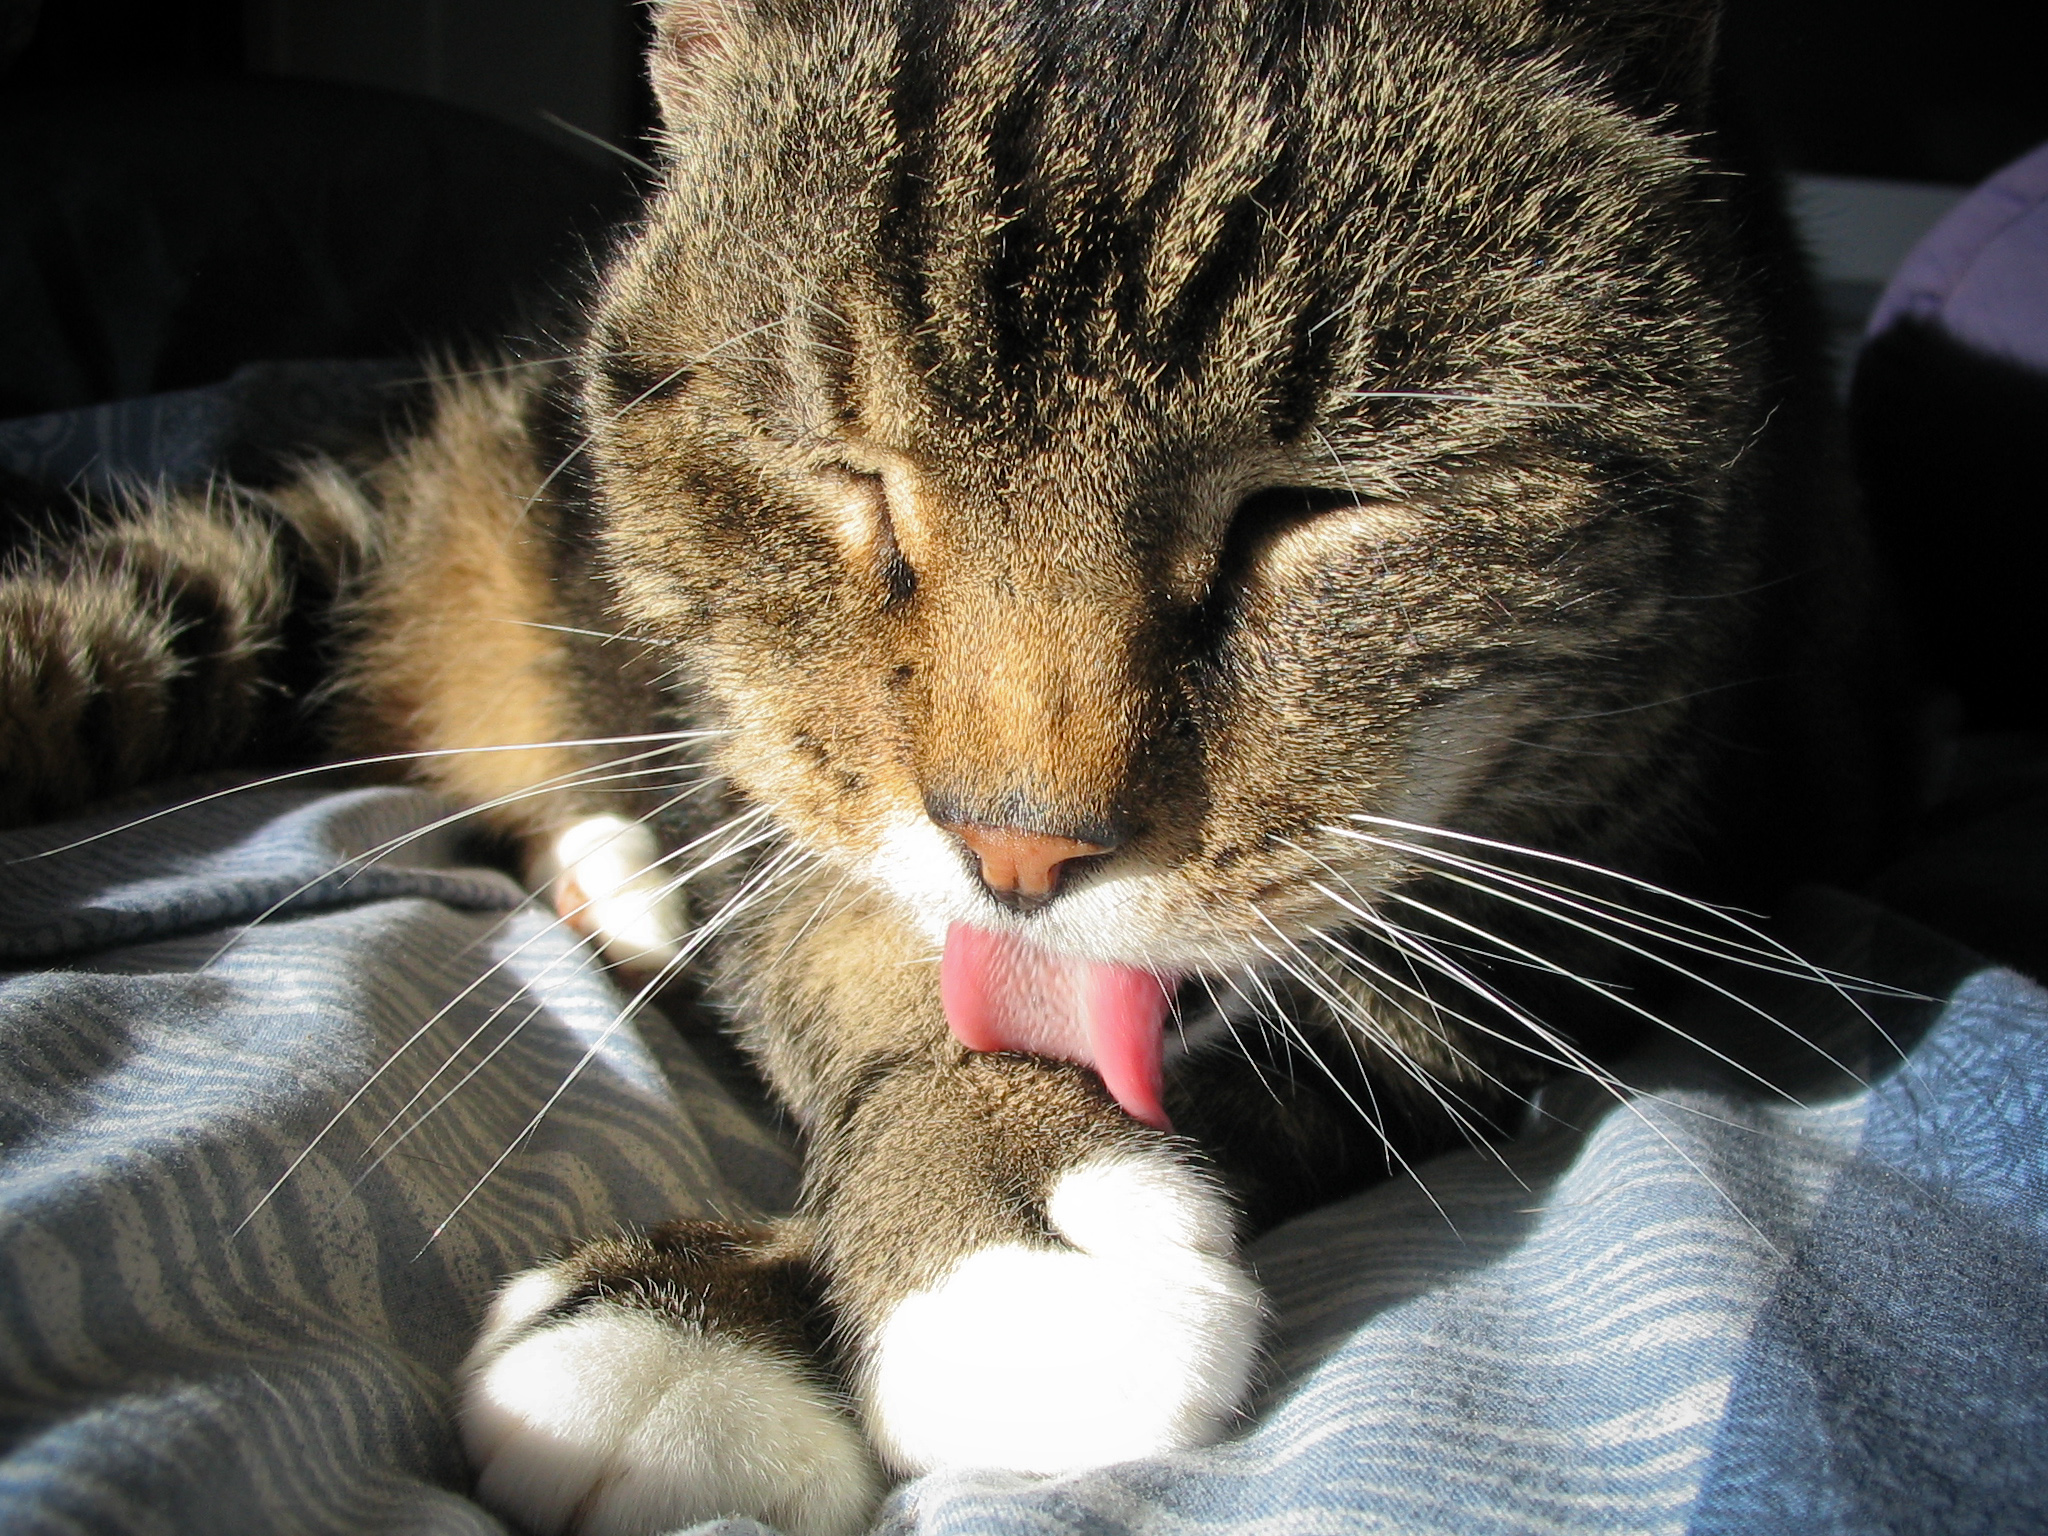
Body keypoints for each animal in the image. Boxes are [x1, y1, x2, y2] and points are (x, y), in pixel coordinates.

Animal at [0, 0, 1900, 1531]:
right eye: (845, 472)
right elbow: (844, 930)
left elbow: (1347, 1035)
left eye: (1308, 506)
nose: (1020, 847)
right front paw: (947, 1212)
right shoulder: (752, 729)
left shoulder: (1647, 862)